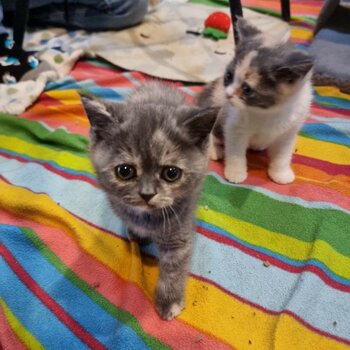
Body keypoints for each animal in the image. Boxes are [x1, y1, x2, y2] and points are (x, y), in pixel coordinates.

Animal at [80, 81, 216, 320]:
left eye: (171, 173)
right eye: (125, 171)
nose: (146, 193)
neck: (147, 217)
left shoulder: (179, 232)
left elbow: (174, 268)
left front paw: (169, 300)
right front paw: (136, 233)